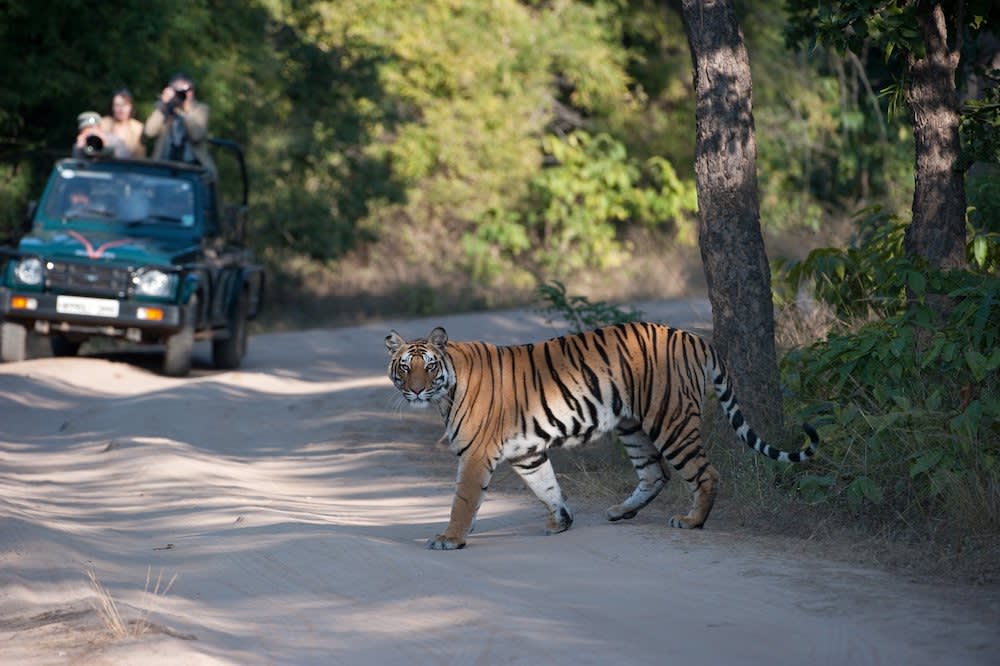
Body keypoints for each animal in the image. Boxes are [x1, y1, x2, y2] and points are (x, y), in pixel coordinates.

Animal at [386, 322, 816, 548]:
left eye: (428, 366)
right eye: (405, 367)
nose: (416, 391)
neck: (447, 388)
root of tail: (693, 336)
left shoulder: (476, 454)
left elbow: (463, 500)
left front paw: (449, 538)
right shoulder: (527, 453)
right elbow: (547, 486)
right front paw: (561, 521)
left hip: (671, 420)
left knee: (704, 473)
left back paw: (692, 520)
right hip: (633, 426)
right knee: (655, 473)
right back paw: (621, 511)